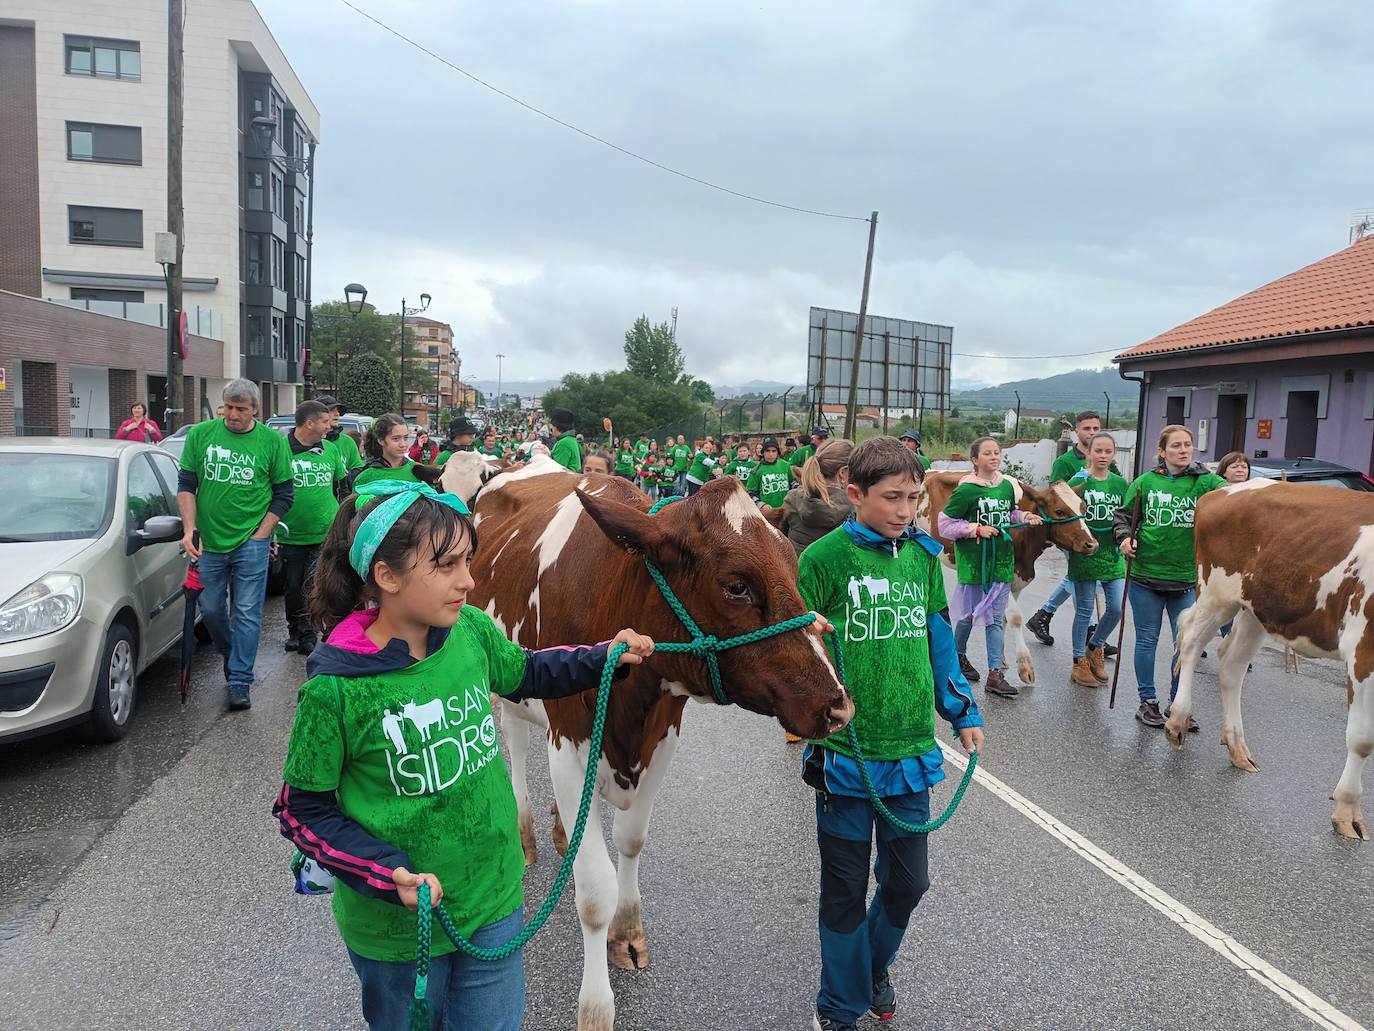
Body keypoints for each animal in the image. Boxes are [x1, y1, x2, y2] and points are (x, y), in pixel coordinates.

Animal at [450, 459, 851, 1031]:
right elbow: (595, 890)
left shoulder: (663, 734)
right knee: (516, 742)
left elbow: (631, 841)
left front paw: (627, 935)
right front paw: (596, 1006)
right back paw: (527, 835)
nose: (837, 705)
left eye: (795, 572)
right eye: (736, 586)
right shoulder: (567, 740)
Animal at [917, 470, 1099, 687]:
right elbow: (1015, 617)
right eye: (1059, 511)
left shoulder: (1017, 581)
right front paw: (1025, 667)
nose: (1092, 544)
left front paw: (1001, 658)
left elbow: (1003, 618)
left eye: (1083, 507)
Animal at [1165, 481, 1368, 841]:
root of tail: (1223, 491)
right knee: (1190, 640)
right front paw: (1347, 809)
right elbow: (1361, 739)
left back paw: (1237, 748)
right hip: (1218, 593)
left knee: (1230, 664)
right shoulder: (1362, 649)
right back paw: (1178, 720)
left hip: (1255, 609)